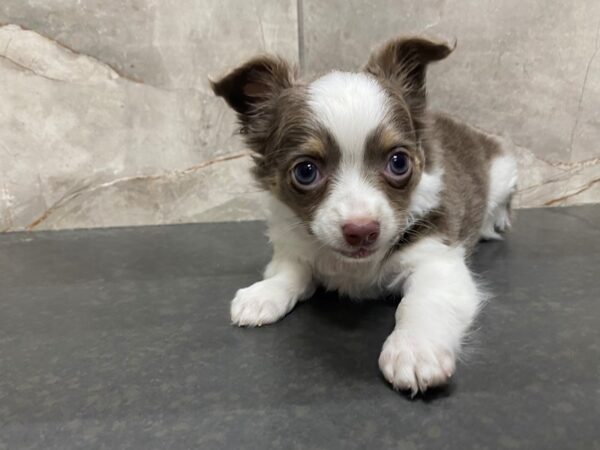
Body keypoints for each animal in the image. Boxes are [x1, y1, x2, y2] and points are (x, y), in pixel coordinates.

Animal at [211, 36, 516, 394]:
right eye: (306, 171)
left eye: (399, 162)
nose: (361, 230)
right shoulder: (294, 246)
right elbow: (290, 271)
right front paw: (264, 293)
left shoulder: (436, 259)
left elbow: (422, 302)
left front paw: (415, 349)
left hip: (504, 171)